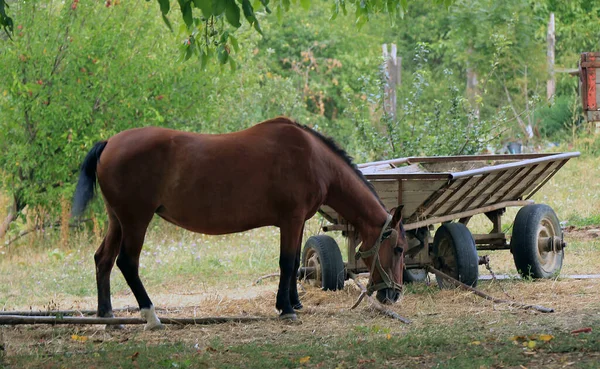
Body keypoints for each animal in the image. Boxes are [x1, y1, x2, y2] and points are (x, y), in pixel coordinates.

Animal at [71, 117, 408, 328]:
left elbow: (294, 264)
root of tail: (110, 143)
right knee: (127, 263)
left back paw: (108, 317)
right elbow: (287, 262)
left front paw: (294, 303)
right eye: (400, 249)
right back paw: (151, 316)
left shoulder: (298, 222)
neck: (314, 158)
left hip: (117, 220)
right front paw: (286, 309)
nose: (394, 294)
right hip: (136, 220)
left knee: (103, 259)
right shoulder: (291, 219)